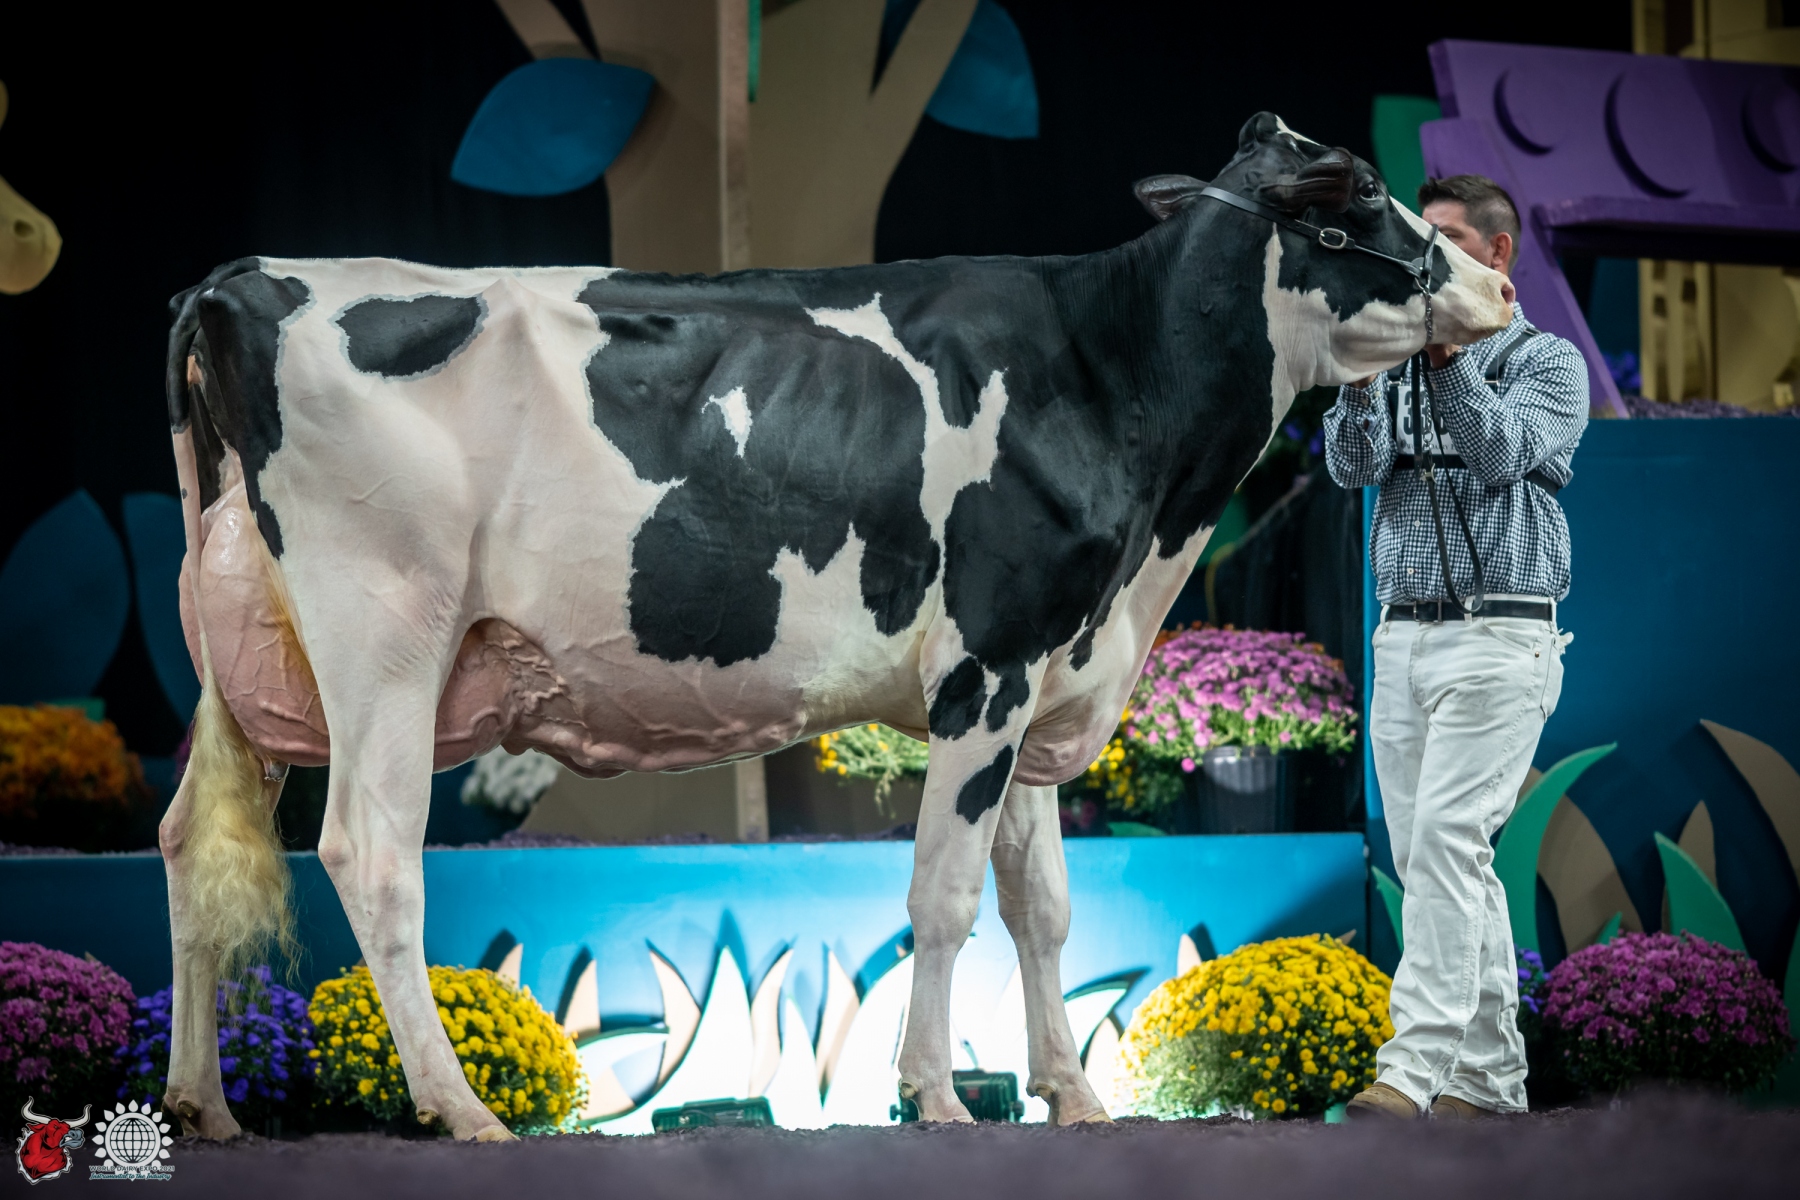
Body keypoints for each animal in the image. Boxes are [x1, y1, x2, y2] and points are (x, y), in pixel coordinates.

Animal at [157, 112, 1513, 1140]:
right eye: (1367, 193)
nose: (1499, 284)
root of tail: (236, 281)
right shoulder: (987, 670)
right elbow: (944, 895)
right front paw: (935, 1097)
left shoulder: (1045, 669)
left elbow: (1042, 904)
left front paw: (1073, 1095)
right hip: (384, 635)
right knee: (373, 853)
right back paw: (462, 1110)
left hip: (248, 668)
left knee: (186, 843)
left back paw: (199, 1106)